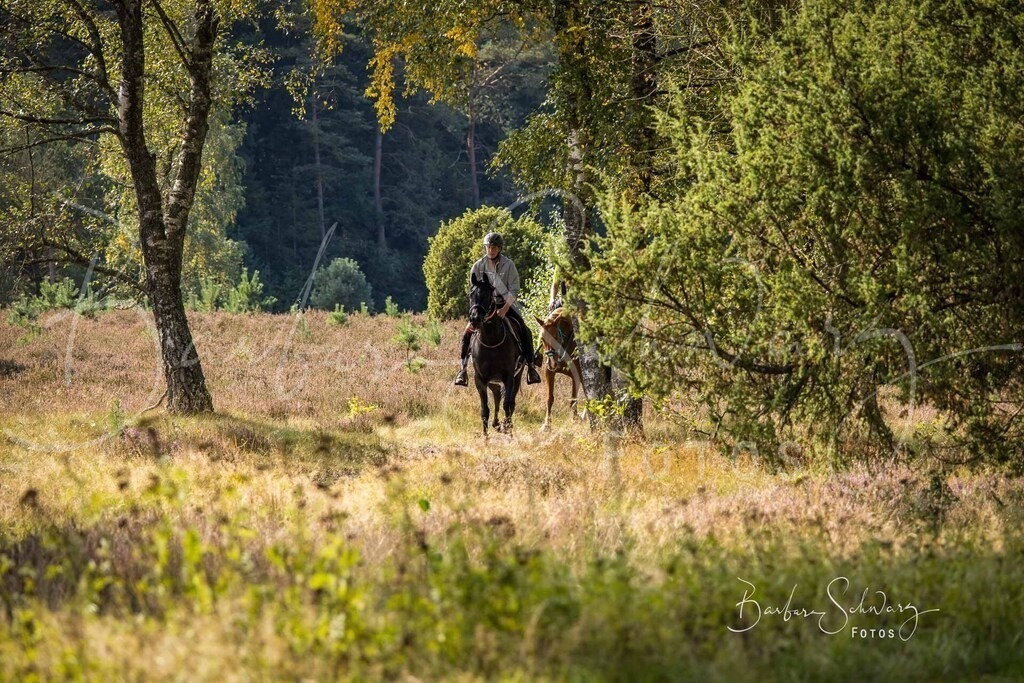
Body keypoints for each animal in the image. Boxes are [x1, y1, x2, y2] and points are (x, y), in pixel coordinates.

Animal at [468, 272, 524, 436]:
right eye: (470, 294)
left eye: (487, 294)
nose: (475, 319)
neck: (491, 340)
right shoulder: (480, 379)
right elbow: (485, 410)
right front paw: (485, 437)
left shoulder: (509, 376)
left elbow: (508, 405)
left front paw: (508, 430)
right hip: (493, 381)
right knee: (497, 395)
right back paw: (496, 424)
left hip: (517, 376)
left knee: (510, 401)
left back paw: (504, 425)